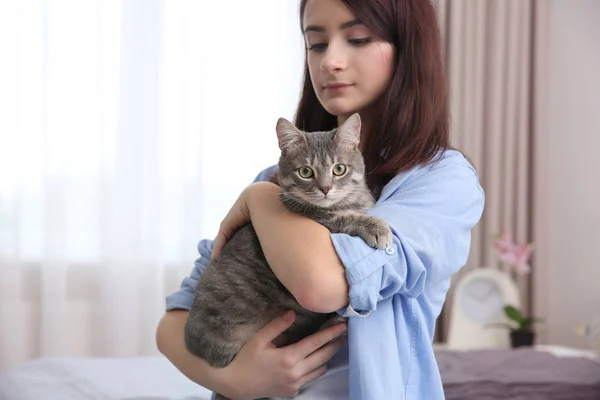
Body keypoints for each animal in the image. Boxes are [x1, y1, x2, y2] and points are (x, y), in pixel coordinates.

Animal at [185, 112, 394, 400]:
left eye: (339, 169)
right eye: (305, 172)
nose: (325, 188)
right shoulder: (324, 222)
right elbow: (347, 218)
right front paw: (376, 227)